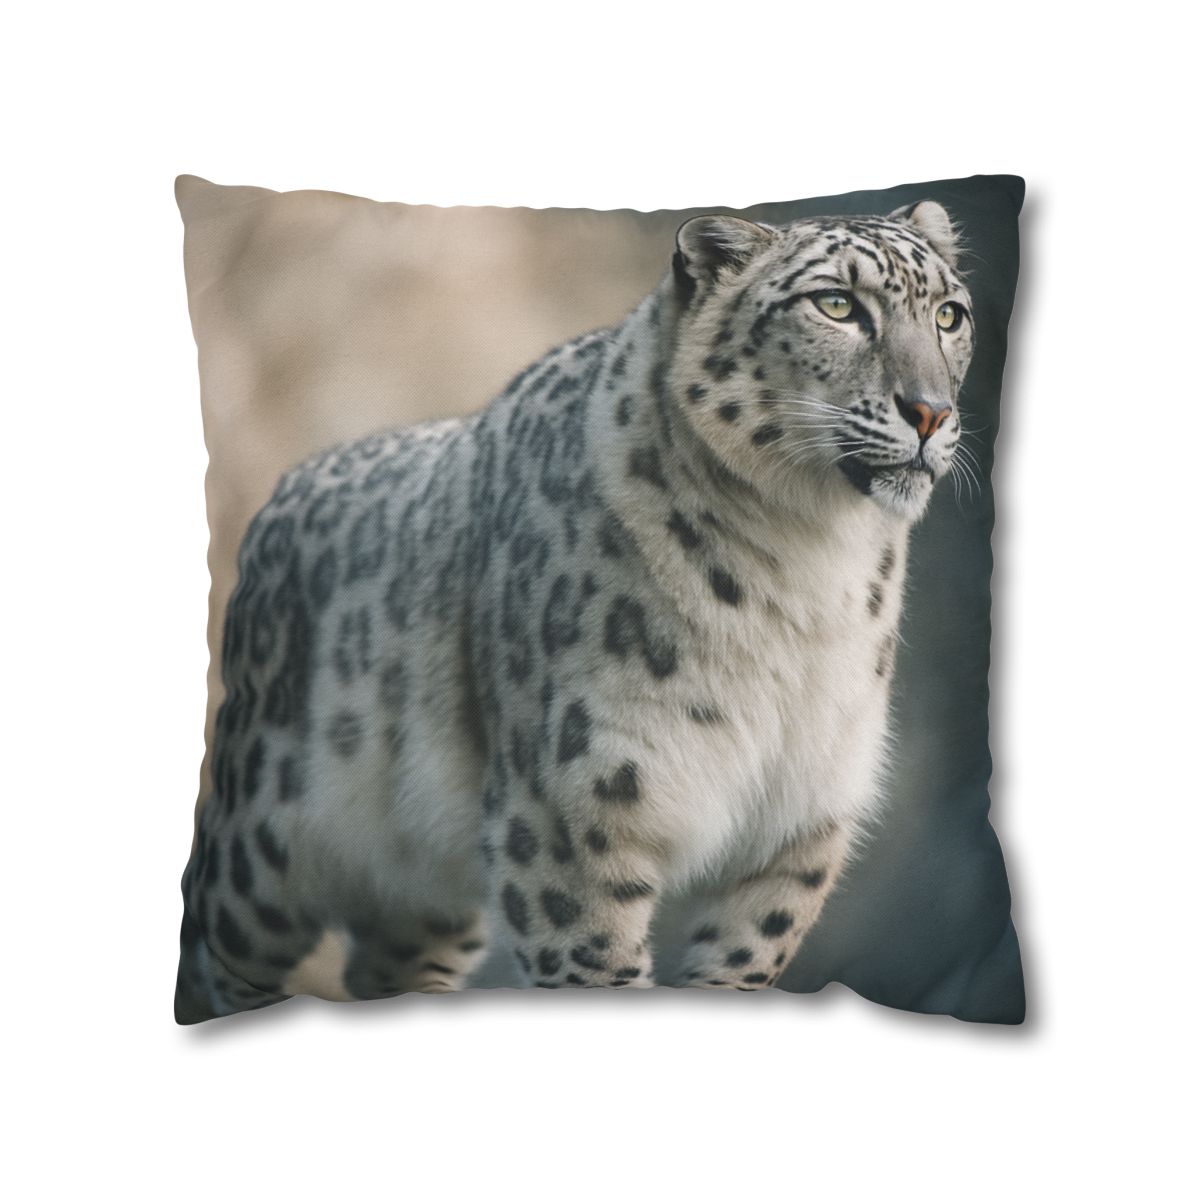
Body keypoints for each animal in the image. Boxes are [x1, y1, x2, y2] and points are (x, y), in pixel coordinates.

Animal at [176, 199, 974, 1022]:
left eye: (949, 314)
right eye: (837, 305)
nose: (930, 411)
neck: (811, 565)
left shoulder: (798, 822)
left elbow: (741, 964)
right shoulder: (573, 814)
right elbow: (595, 966)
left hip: (424, 888)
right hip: (261, 849)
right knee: (212, 946)